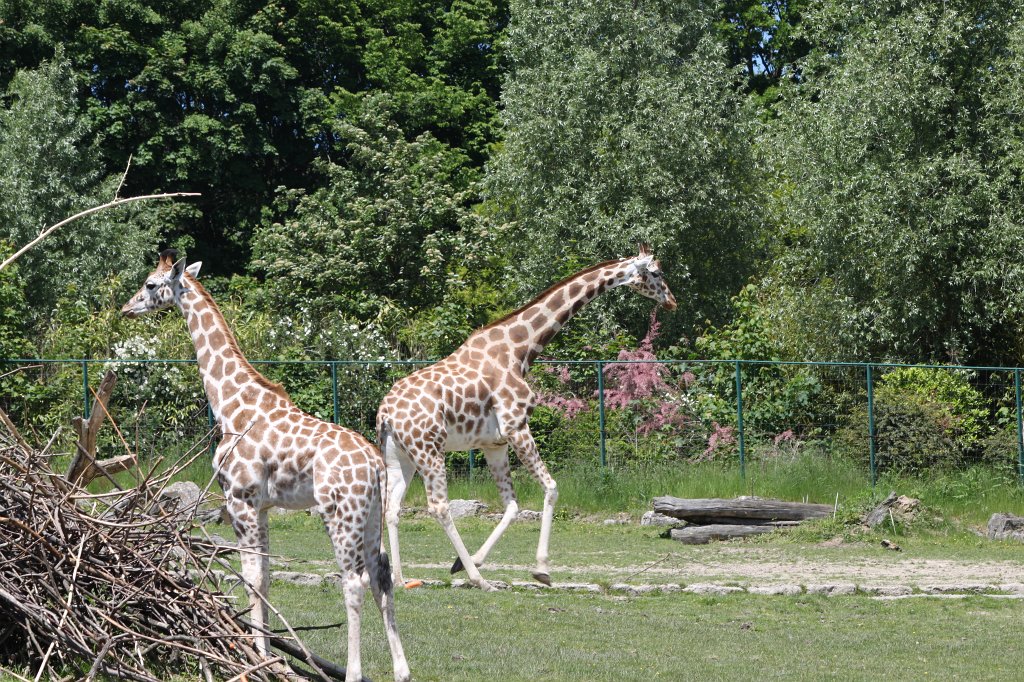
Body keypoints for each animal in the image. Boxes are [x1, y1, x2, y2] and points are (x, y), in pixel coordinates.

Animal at [121, 250, 409, 682]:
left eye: (151, 284)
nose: (127, 307)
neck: (230, 406)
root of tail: (375, 464)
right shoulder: (262, 506)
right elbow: (267, 578)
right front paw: (267, 652)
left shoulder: (239, 499)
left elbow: (252, 577)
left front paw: (256, 656)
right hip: (372, 513)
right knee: (381, 577)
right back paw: (402, 671)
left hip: (339, 512)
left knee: (354, 580)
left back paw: (355, 672)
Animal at [377, 245, 676, 590]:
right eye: (656, 272)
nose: (672, 300)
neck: (518, 350)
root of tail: (385, 412)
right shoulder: (517, 426)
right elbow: (551, 488)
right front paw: (541, 569)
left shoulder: (494, 443)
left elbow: (512, 506)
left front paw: (463, 563)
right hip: (429, 450)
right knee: (438, 507)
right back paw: (479, 580)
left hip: (401, 455)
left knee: (392, 508)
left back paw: (400, 579)